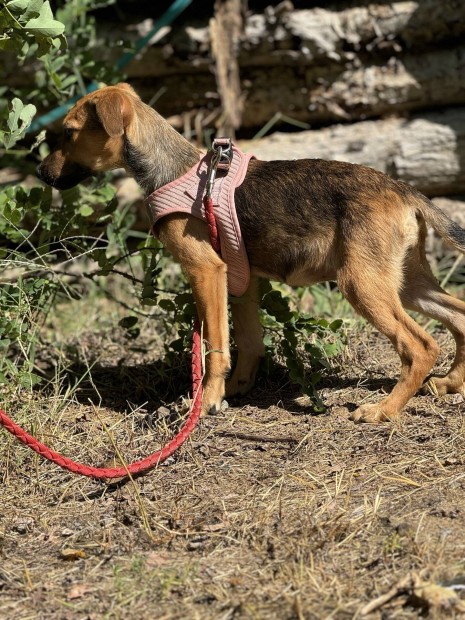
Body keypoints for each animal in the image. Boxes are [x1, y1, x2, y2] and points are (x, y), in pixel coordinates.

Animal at [37, 83, 465, 422]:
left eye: (69, 133)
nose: (41, 173)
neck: (173, 169)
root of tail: (402, 189)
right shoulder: (241, 282)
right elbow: (248, 342)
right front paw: (234, 390)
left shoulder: (207, 271)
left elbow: (215, 347)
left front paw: (207, 402)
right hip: (404, 280)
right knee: (458, 315)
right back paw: (450, 383)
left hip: (362, 283)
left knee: (422, 346)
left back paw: (383, 409)